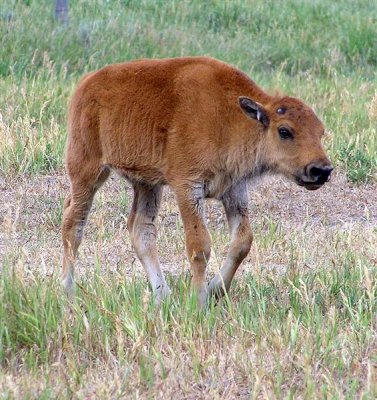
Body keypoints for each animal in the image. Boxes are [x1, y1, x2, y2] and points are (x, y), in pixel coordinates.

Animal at [62, 56, 332, 304]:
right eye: (285, 131)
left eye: (320, 131)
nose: (322, 170)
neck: (230, 117)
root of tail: (87, 83)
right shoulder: (187, 186)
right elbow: (199, 244)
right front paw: (199, 301)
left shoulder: (235, 189)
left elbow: (242, 242)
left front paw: (215, 291)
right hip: (87, 170)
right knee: (73, 224)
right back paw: (67, 291)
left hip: (148, 184)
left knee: (141, 230)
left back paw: (162, 296)